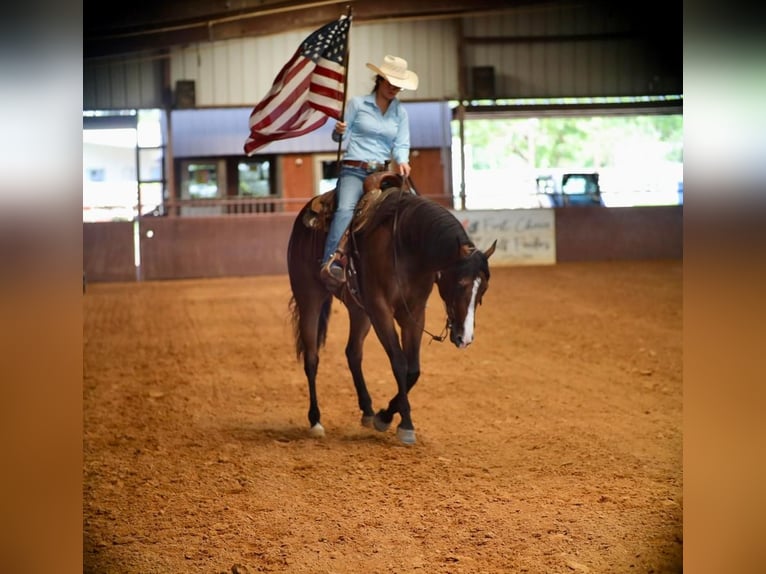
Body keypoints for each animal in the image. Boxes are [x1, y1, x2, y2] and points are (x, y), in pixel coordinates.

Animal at [288, 173, 498, 448]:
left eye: (483, 289)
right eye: (460, 283)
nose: (465, 338)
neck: (407, 246)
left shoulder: (414, 313)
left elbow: (413, 369)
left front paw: (384, 416)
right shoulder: (381, 309)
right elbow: (399, 362)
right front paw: (405, 425)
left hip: (359, 310)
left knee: (353, 352)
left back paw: (367, 411)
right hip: (309, 297)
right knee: (312, 358)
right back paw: (315, 421)